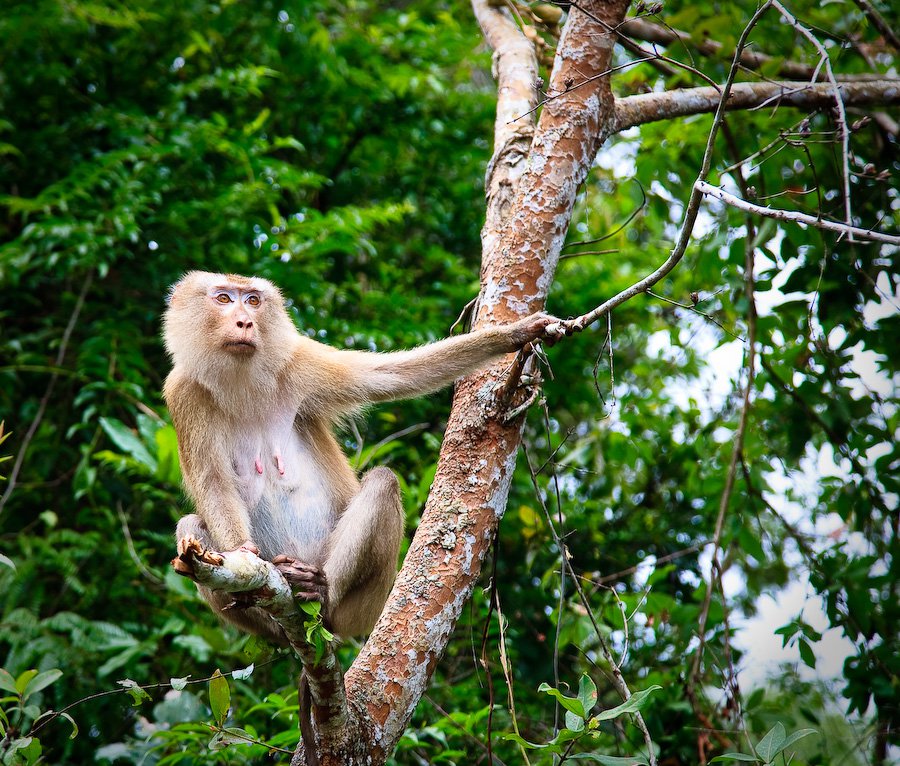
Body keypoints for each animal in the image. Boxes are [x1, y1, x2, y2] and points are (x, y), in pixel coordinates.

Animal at [162, 272, 556, 644]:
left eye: (253, 300)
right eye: (224, 298)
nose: (245, 321)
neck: (241, 381)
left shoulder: (297, 360)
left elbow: (391, 376)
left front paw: (513, 334)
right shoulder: (183, 392)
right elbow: (214, 484)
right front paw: (244, 551)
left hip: (366, 605)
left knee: (382, 482)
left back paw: (319, 593)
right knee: (189, 526)